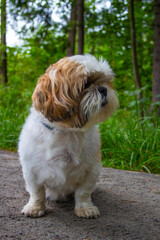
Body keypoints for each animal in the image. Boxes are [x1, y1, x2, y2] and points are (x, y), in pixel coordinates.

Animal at [18, 54, 119, 219]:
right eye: (86, 83)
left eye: (105, 82)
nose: (103, 89)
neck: (67, 131)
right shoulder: (31, 169)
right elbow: (37, 192)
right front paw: (35, 207)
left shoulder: (91, 169)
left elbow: (83, 193)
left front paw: (85, 208)